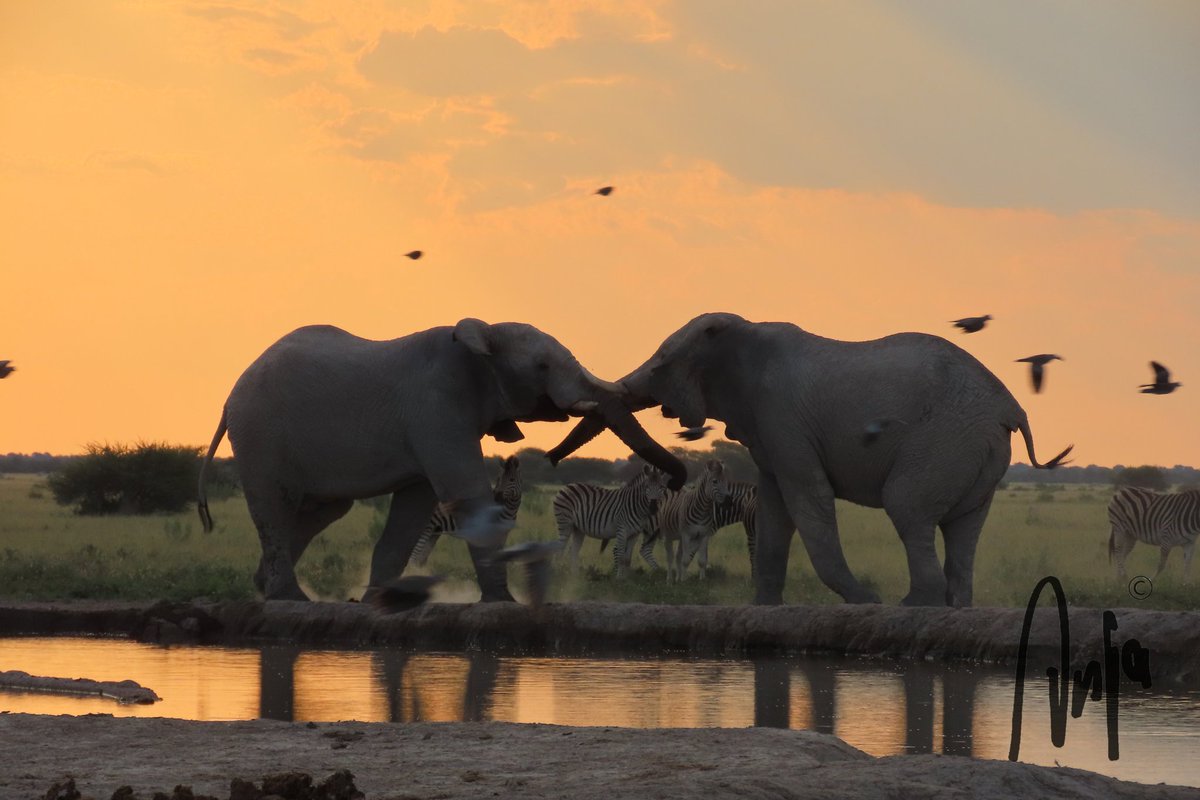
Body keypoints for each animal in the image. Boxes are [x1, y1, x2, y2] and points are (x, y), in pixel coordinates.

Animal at [196, 319, 686, 599]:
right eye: (542, 368)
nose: (676, 482)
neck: (479, 338)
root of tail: (229, 398)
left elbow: (415, 505)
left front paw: (380, 601)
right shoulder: (436, 406)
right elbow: (465, 491)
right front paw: (502, 604)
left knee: (322, 512)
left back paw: (265, 588)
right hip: (259, 435)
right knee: (275, 505)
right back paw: (289, 599)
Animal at [549, 311, 1075, 606]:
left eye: (660, 366)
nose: (551, 460)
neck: (745, 333)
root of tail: (1010, 407)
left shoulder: (782, 416)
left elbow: (807, 497)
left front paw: (864, 602)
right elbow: (775, 506)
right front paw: (763, 608)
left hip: (945, 441)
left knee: (908, 507)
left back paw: (911, 606)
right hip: (977, 451)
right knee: (964, 527)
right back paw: (952, 607)